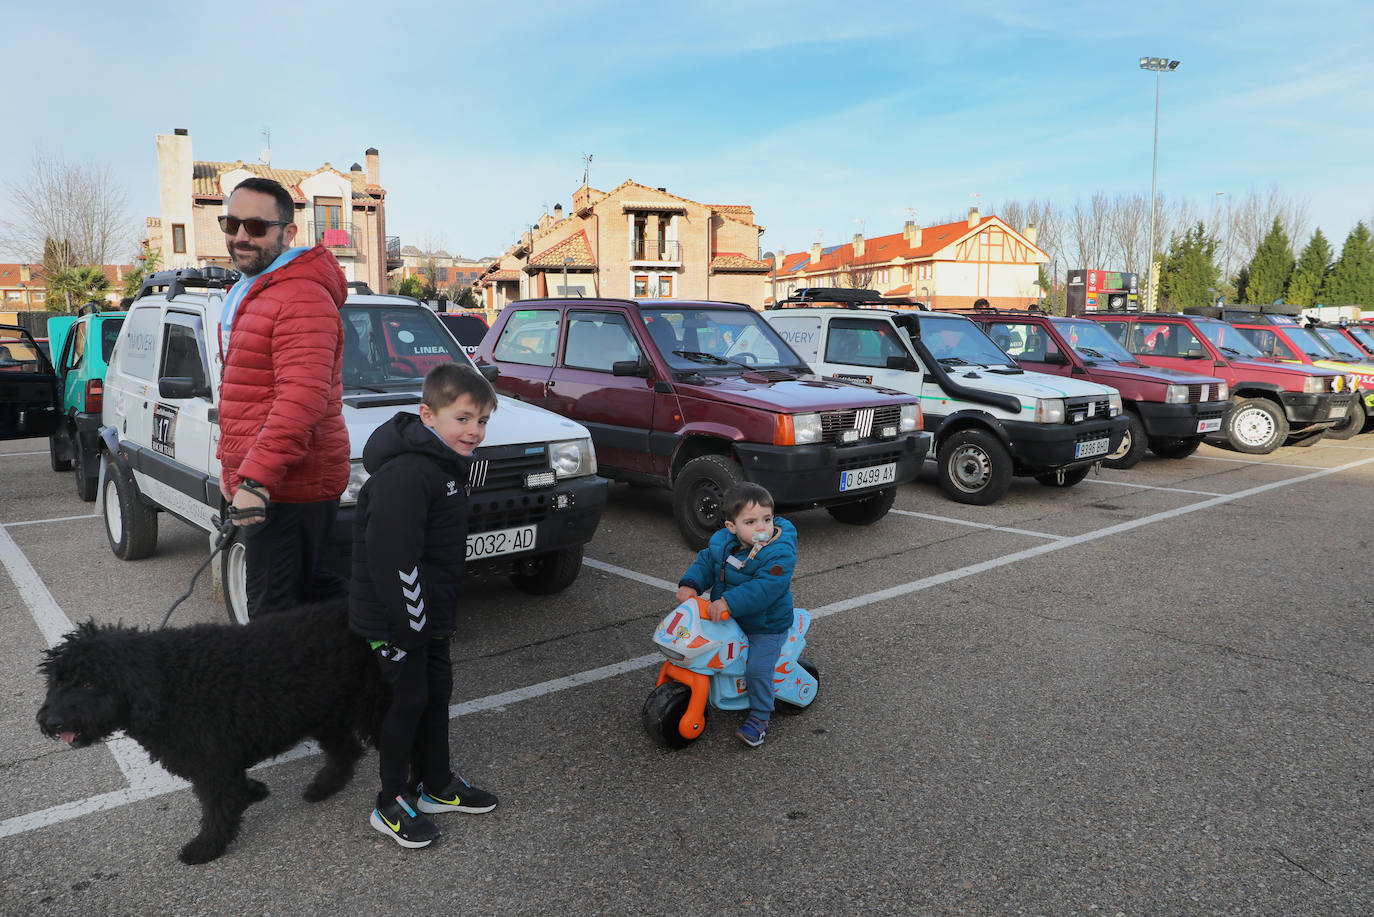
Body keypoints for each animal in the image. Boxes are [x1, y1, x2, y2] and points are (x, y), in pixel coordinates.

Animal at [38, 602, 381, 868]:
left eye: (88, 683)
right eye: (58, 681)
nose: (52, 722)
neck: (166, 683)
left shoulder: (211, 764)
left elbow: (216, 810)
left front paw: (206, 847)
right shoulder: (217, 760)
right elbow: (231, 792)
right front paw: (251, 793)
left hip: (372, 707)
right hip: (325, 713)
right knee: (347, 751)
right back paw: (324, 787)